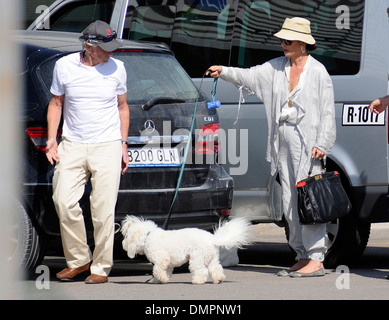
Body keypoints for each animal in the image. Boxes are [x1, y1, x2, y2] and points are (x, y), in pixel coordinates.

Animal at [122, 216, 255, 284]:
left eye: (126, 236)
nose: (123, 243)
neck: (148, 236)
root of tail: (212, 239)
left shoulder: (162, 260)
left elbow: (157, 270)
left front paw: (162, 279)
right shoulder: (168, 264)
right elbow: (163, 272)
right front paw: (157, 280)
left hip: (197, 258)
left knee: (202, 271)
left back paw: (197, 281)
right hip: (211, 257)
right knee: (216, 268)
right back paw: (218, 279)